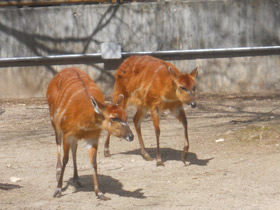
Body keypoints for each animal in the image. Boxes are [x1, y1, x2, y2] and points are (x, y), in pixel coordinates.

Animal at [46, 67, 133, 200]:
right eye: (114, 118)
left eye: (126, 116)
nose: (131, 136)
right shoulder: (67, 134)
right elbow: (65, 159)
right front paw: (58, 190)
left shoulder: (92, 138)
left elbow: (94, 162)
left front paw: (99, 193)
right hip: (55, 125)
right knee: (58, 144)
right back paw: (58, 173)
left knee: (74, 150)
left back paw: (77, 179)